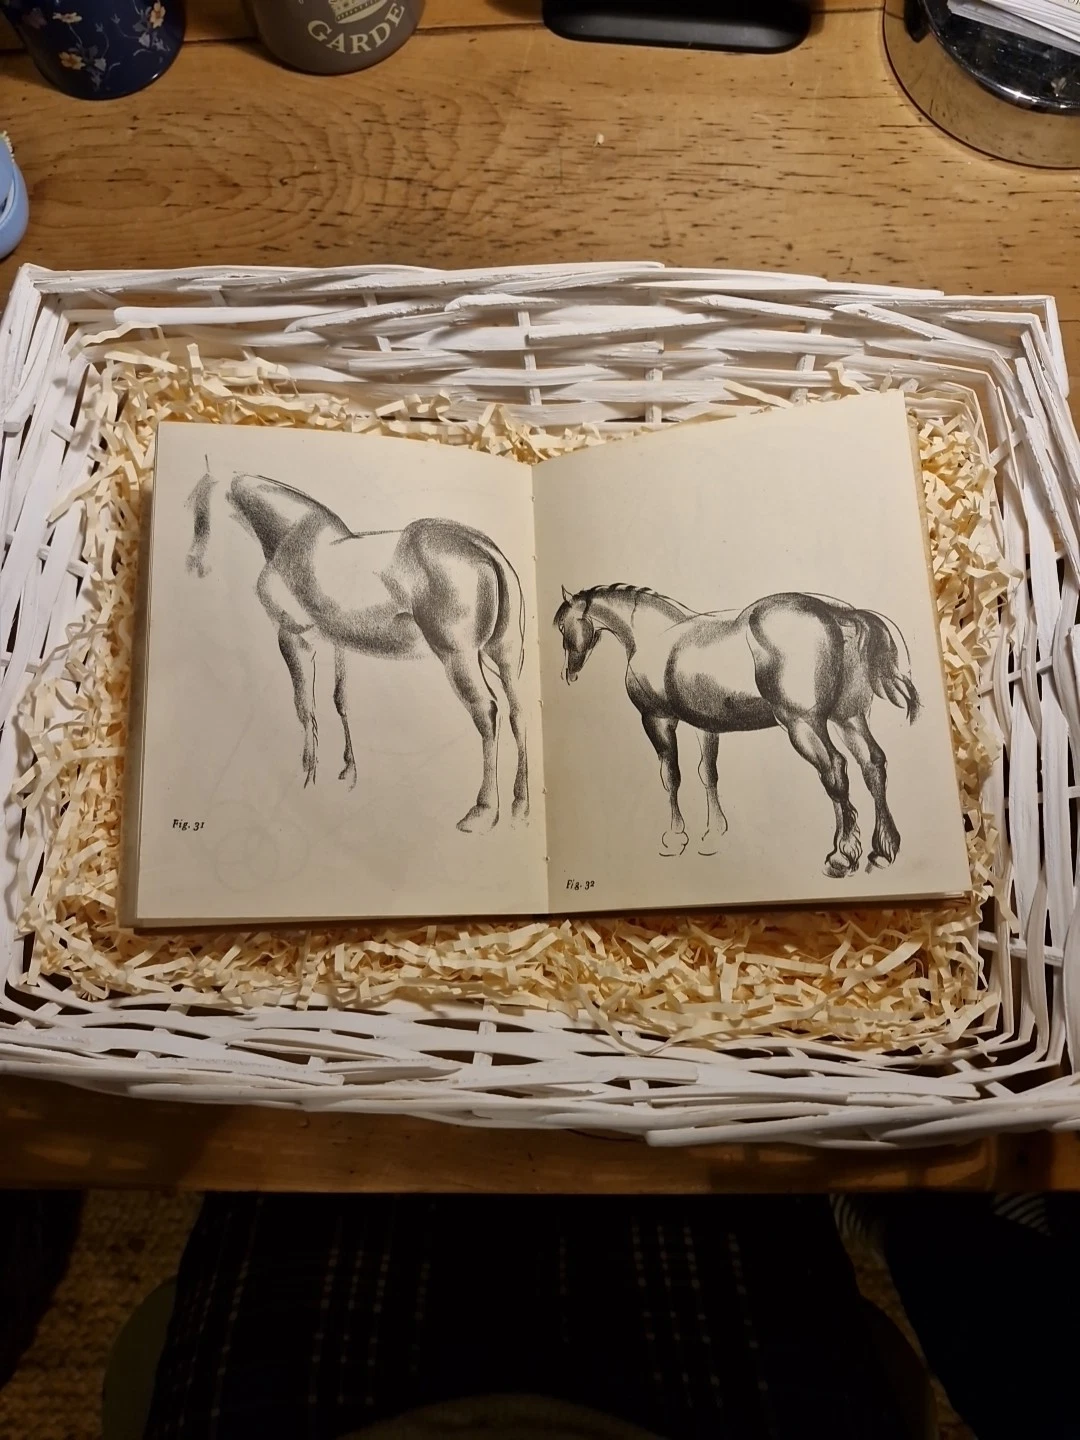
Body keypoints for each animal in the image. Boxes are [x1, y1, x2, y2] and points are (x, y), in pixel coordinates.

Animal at [186, 470, 529, 834]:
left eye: (196, 504)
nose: (194, 564)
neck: (292, 536)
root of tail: (482, 547)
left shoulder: (293, 638)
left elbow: (304, 706)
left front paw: (307, 774)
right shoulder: (340, 645)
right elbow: (340, 700)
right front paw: (347, 772)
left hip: (459, 658)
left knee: (487, 712)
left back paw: (484, 811)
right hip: (503, 655)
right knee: (517, 713)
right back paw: (520, 806)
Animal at [553, 584, 920, 876]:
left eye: (561, 625)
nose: (568, 673)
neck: (657, 635)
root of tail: (836, 612)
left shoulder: (657, 720)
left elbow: (671, 776)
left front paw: (675, 838)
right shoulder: (705, 727)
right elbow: (708, 774)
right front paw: (714, 835)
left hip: (804, 725)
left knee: (835, 769)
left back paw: (841, 856)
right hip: (849, 718)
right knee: (872, 764)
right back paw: (883, 850)